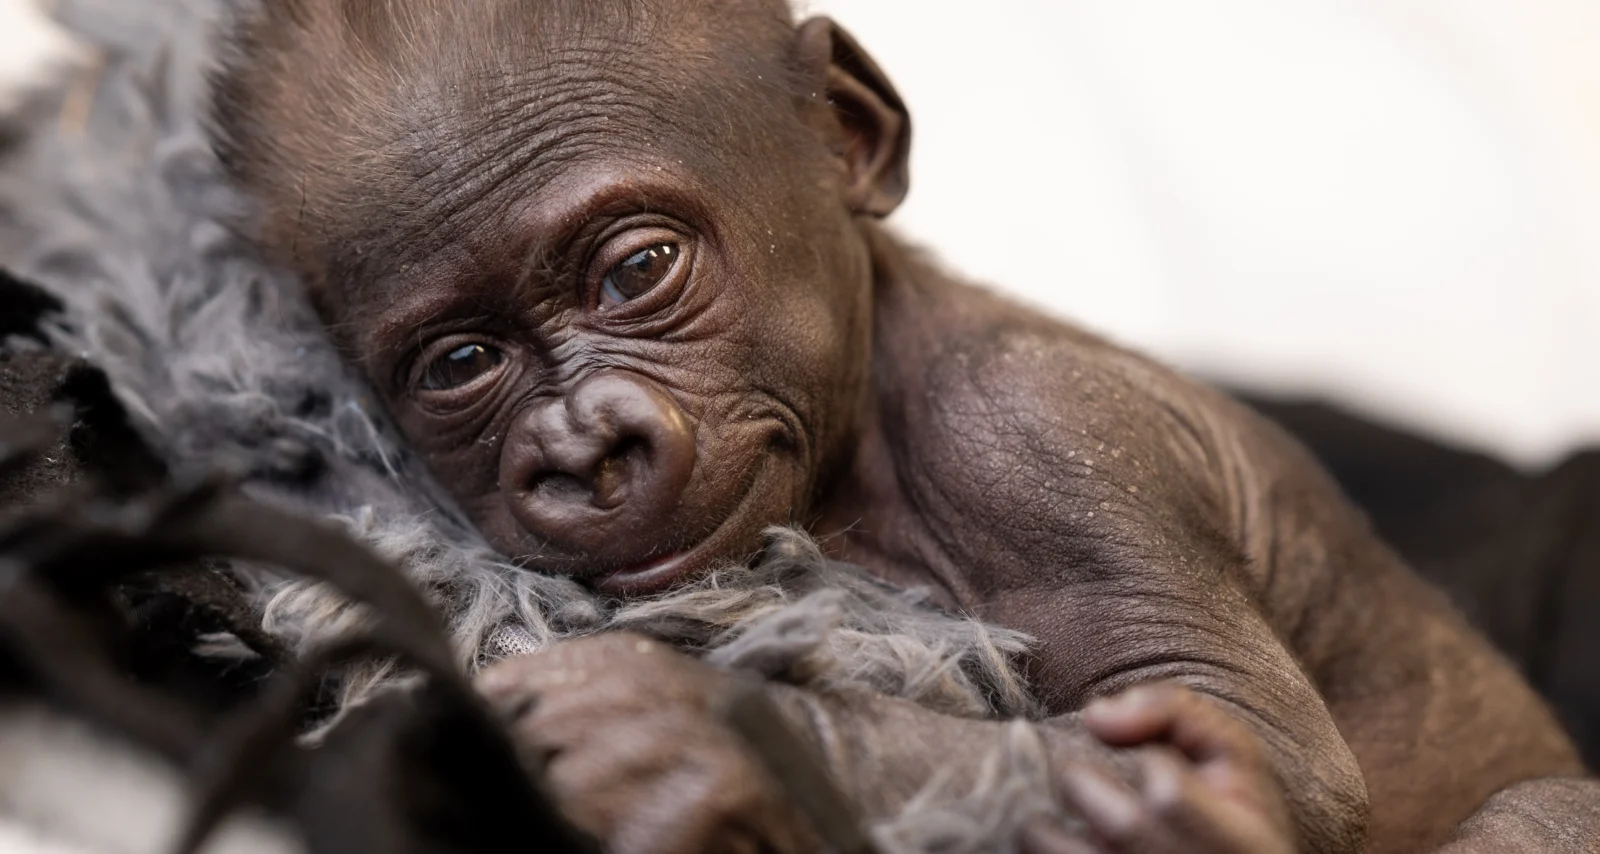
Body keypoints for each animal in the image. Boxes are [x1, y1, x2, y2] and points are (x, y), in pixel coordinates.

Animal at [208, 1, 1600, 851]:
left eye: (635, 269)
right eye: (462, 361)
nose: (584, 451)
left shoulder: (1043, 441)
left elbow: (1262, 756)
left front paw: (692, 736)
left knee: (1535, 809)